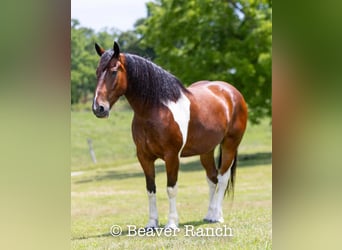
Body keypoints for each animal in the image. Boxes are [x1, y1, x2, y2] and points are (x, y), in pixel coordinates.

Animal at [92, 41, 247, 230]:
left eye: (114, 71)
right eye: (97, 72)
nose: (99, 108)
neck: (156, 109)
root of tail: (231, 92)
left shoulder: (172, 156)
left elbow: (171, 188)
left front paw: (172, 224)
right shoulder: (144, 157)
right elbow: (150, 189)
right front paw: (152, 224)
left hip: (230, 145)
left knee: (223, 178)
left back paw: (218, 216)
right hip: (206, 150)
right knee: (212, 178)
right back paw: (209, 215)